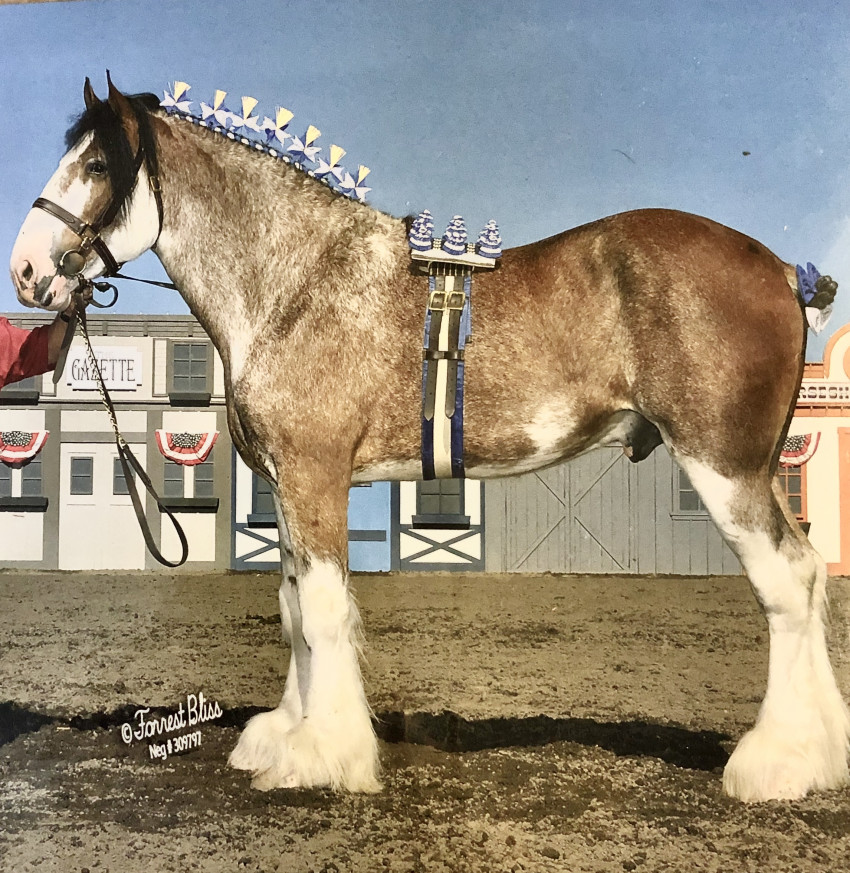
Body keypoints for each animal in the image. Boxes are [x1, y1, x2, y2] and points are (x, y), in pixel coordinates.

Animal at [9, 77, 849, 803]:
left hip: (723, 465)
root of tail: (781, 270)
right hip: (756, 470)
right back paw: (821, 757)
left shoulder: (314, 478)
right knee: (809, 572)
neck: (296, 283)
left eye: (95, 164)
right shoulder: (286, 488)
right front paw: (284, 735)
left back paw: (773, 763)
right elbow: (293, 610)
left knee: (783, 583)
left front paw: (322, 757)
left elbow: (321, 611)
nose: (24, 270)